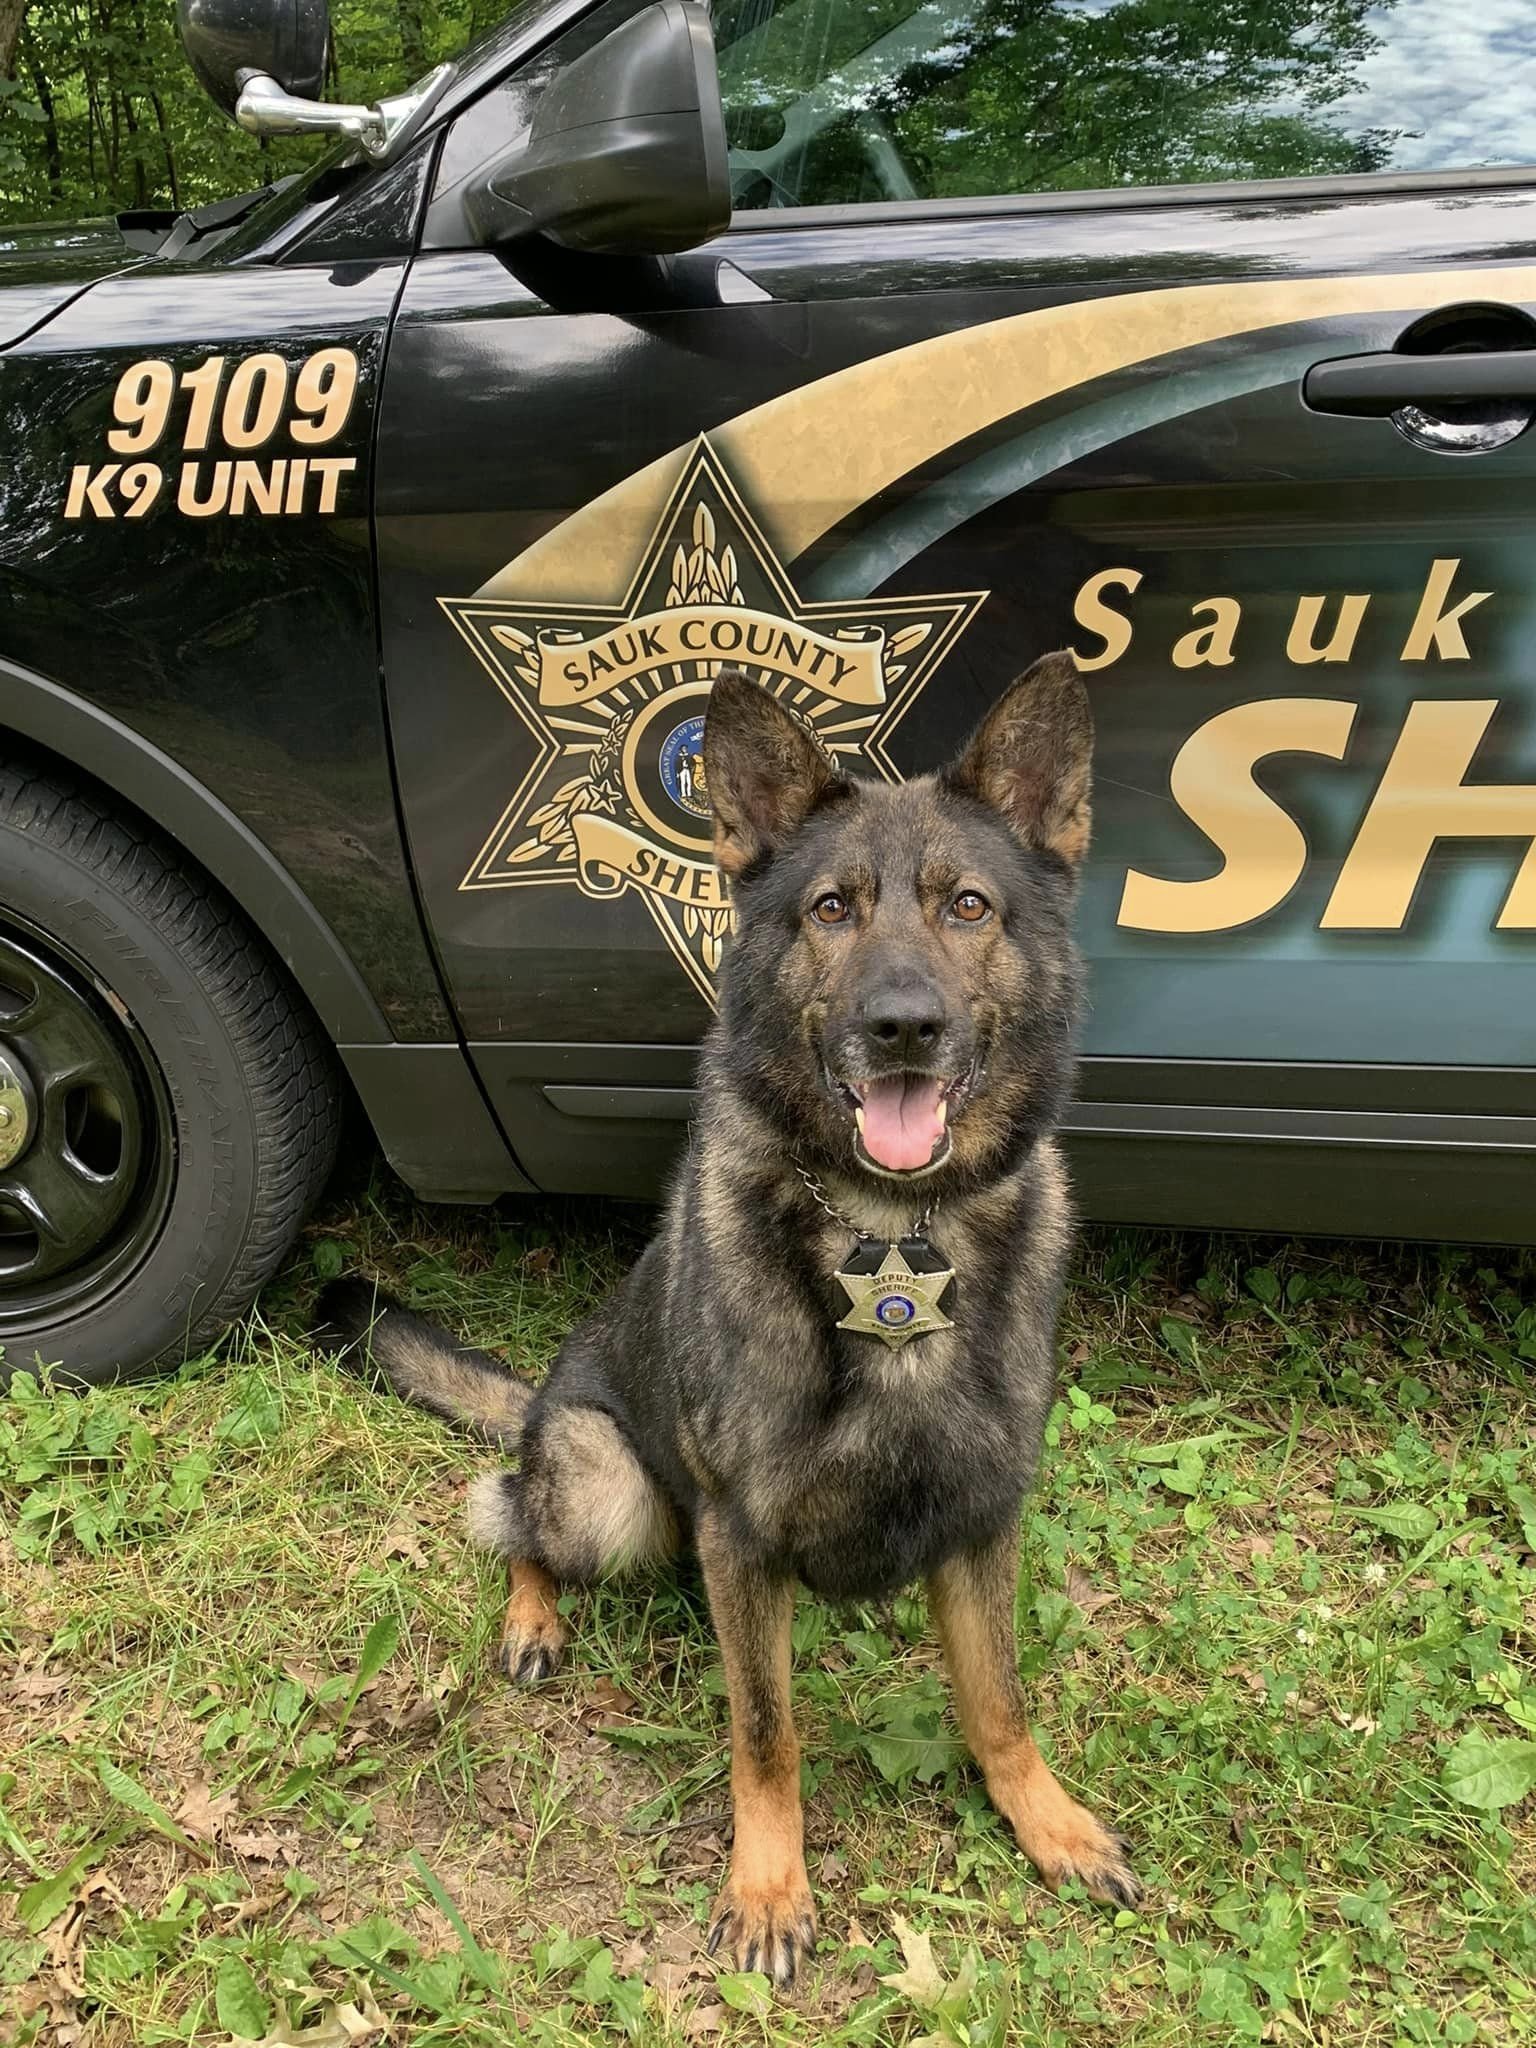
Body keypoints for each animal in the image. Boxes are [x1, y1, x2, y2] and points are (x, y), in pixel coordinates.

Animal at [319, 655, 1146, 1982]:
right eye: (831, 909)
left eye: (968, 906)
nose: (902, 1025)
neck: (891, 1241)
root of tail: (547, 1393)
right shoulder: (741, 1541)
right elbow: (767, 1731)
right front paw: (767, 1885)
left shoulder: (980, 1516)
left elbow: (1000, 1703)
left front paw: (1046, 1820)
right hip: (613, 1493)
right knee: (511, 1514)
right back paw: (532, 1614)